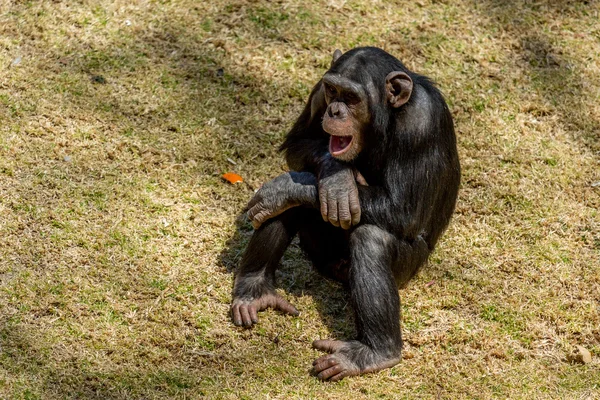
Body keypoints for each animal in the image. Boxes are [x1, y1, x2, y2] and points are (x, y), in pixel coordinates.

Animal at [230, 47, 460, 382]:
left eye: (351, 97)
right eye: (333, 91)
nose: (335, 111)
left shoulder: (422, 122)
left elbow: (402, 210)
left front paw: (288, 187)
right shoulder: (317, 92)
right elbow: (297, 143)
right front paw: (336, 179)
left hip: (408, 269)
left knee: (370, 239)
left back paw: (375, 352)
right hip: (317, 249)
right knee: (292, 207)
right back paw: (254, 289)